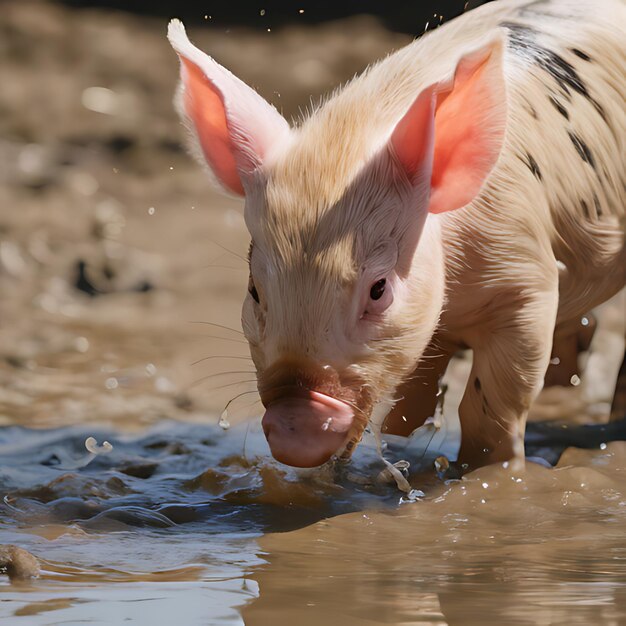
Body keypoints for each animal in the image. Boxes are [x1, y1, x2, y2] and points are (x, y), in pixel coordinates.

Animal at [167, 0, 624, 468]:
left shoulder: (526, 277)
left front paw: (485, 470)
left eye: (379, 289)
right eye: (255, 290)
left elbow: (492, 405)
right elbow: (411, 401)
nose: (295, 422)